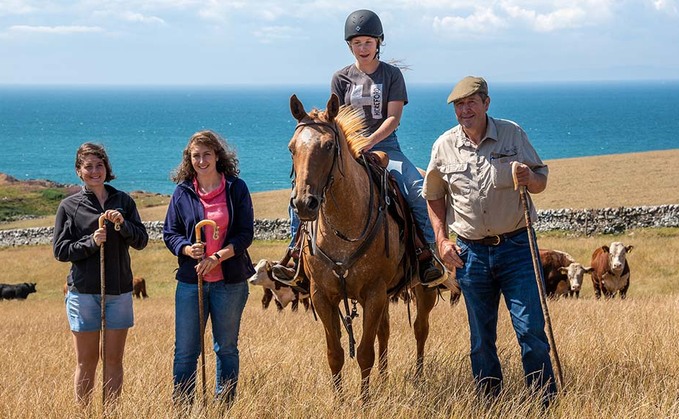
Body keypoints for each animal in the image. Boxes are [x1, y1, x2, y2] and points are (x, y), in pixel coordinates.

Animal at [290, 93, 444, 402]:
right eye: (292, 148)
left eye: (328, 146)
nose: (303, 203)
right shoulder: (322, 296)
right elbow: (335, 353)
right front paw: (339, 401)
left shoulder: (373, 293)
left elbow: (363, 353)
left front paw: (364, 401)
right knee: (384, 332)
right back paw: (384, 381)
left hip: (422, 290)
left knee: (420, 329)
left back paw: (419, 377)